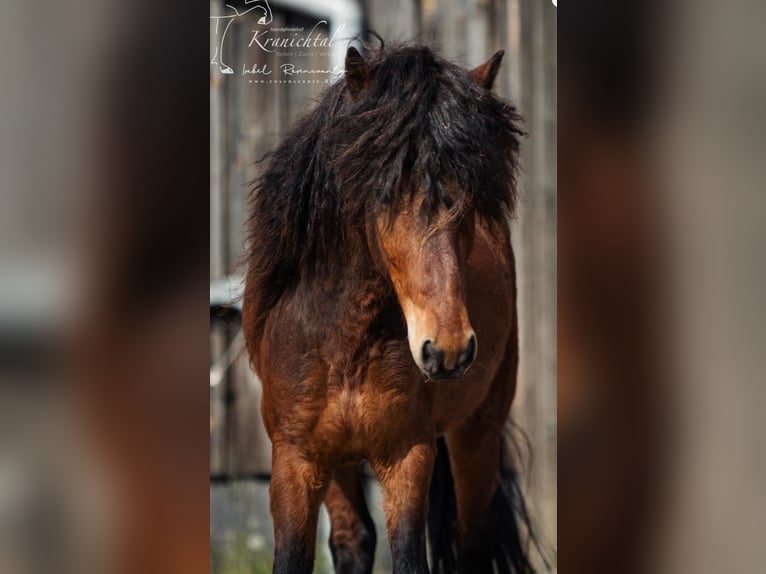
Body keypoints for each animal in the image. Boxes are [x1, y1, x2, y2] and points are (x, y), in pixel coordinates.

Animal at [242, 44, 537, 574]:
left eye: (470, 203)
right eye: (384, 192)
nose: (448, 349)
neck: (345, 343)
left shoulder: (407, 457)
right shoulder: (295, 462)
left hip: (477, 433)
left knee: (473, 540)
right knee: (354, 539)